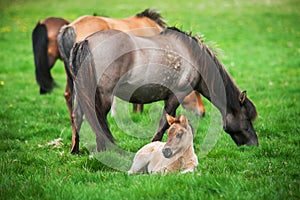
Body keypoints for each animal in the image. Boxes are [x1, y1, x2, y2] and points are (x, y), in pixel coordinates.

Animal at [70, 27, 258, 152]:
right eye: (246, 118)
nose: (254, 144)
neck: (194, 57)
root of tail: (86, 41)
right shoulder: (176, 95)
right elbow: (164, 123)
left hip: (81, 93)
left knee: (77, 117)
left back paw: (75, 150)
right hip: (104, 95)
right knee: (97, 118)